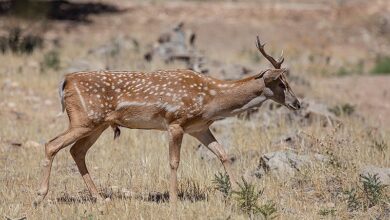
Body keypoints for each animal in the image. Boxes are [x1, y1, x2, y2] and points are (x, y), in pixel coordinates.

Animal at [33, 36, 302, 206]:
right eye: (282, 83)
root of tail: (65, 81)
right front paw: (173, 199)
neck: (211, 99)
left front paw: (238, 191)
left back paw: (99, 198)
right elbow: (174, 162)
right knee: (52, 144)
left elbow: (224, 154)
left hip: (96, 124)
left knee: (76, 151)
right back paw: (39, 196)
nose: (298, 104)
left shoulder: (199, 128)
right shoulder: (175, 122)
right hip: (84, 119)